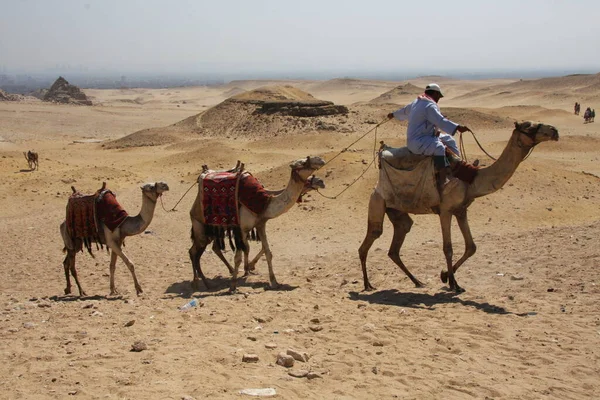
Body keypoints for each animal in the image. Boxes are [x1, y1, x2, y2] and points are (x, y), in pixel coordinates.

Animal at [190, 155, 326, 290]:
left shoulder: (261, 224)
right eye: (303, 162)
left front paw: (274, 281)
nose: (321, 181)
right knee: (194, 252)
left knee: (207, 249)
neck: (265, 203)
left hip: (214, 229)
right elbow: (238, 257)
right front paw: (233, 285)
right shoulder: (242, 228)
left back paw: (209, 280)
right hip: (199, 225)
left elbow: (267, 252)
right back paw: (200, 283)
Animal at [358, 120, 560, 292]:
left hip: (397, 212)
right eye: (528, 126)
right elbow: (448, 248)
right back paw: (368, 285)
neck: (471, 180)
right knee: (370, 239)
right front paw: (453, 284)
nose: (554, 130)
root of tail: (376, 187)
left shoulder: (461, 210)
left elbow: (471, 246)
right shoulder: (445, 211)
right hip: (377, 202)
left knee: (397, 241)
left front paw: (446, 276)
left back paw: (418, 282)